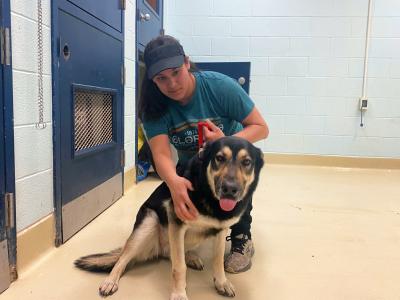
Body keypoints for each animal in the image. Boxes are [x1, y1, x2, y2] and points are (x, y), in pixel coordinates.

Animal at [74, 137, 264, 300]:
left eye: (246, 162)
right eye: (219, 158)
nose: (230, 189)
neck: (209, 195)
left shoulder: (220, 230)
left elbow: (217, 261)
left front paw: (222, 283)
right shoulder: (176, 222)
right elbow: (179, 267)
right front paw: (179, 294)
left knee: (171, 253)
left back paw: (191, 256)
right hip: (149, 224)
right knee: (123, 259)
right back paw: (110, 280)